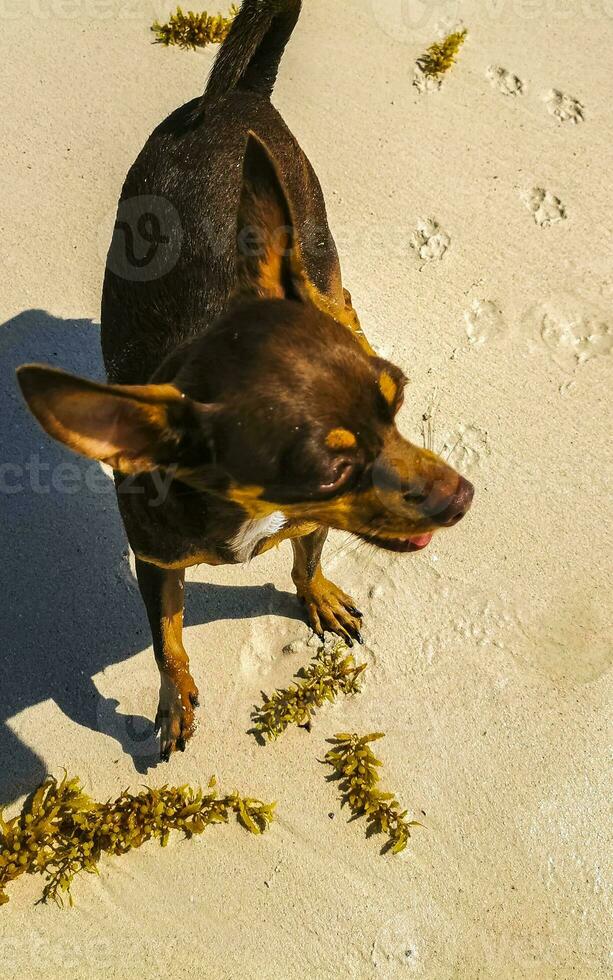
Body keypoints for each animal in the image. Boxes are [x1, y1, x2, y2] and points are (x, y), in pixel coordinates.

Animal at [15, 0, 474, 760]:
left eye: (398, 400)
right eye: (328, 470)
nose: (464, 495)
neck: (246, 510)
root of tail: (232, 96)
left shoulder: (306, 527)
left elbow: (306, 559)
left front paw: (316, 594)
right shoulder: (157, 562)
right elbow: (167, 638)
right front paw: (174, 701)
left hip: (312, 229)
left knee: (330, 285)